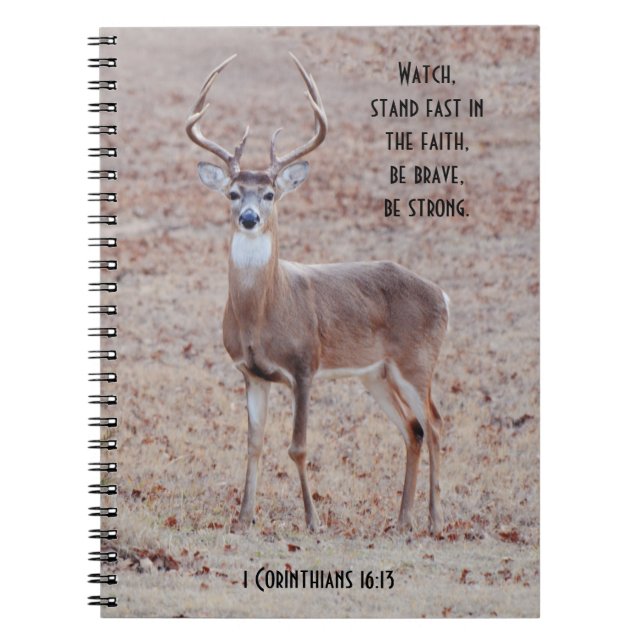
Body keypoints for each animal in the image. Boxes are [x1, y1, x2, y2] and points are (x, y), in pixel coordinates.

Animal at [186, 53, 449, 534]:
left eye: (270, 193)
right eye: (232, 192)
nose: (249, 217)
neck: (260, 315)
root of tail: (442, 296)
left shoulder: (305, 363)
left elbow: (298, 447)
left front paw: (313, 521)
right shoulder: (250, 372)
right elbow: (254, 443)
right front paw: (243, 519)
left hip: (418, 360)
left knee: (435, 423)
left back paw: (435, 521)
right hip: (376, 373)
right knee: (412, 428)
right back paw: (401, 520)